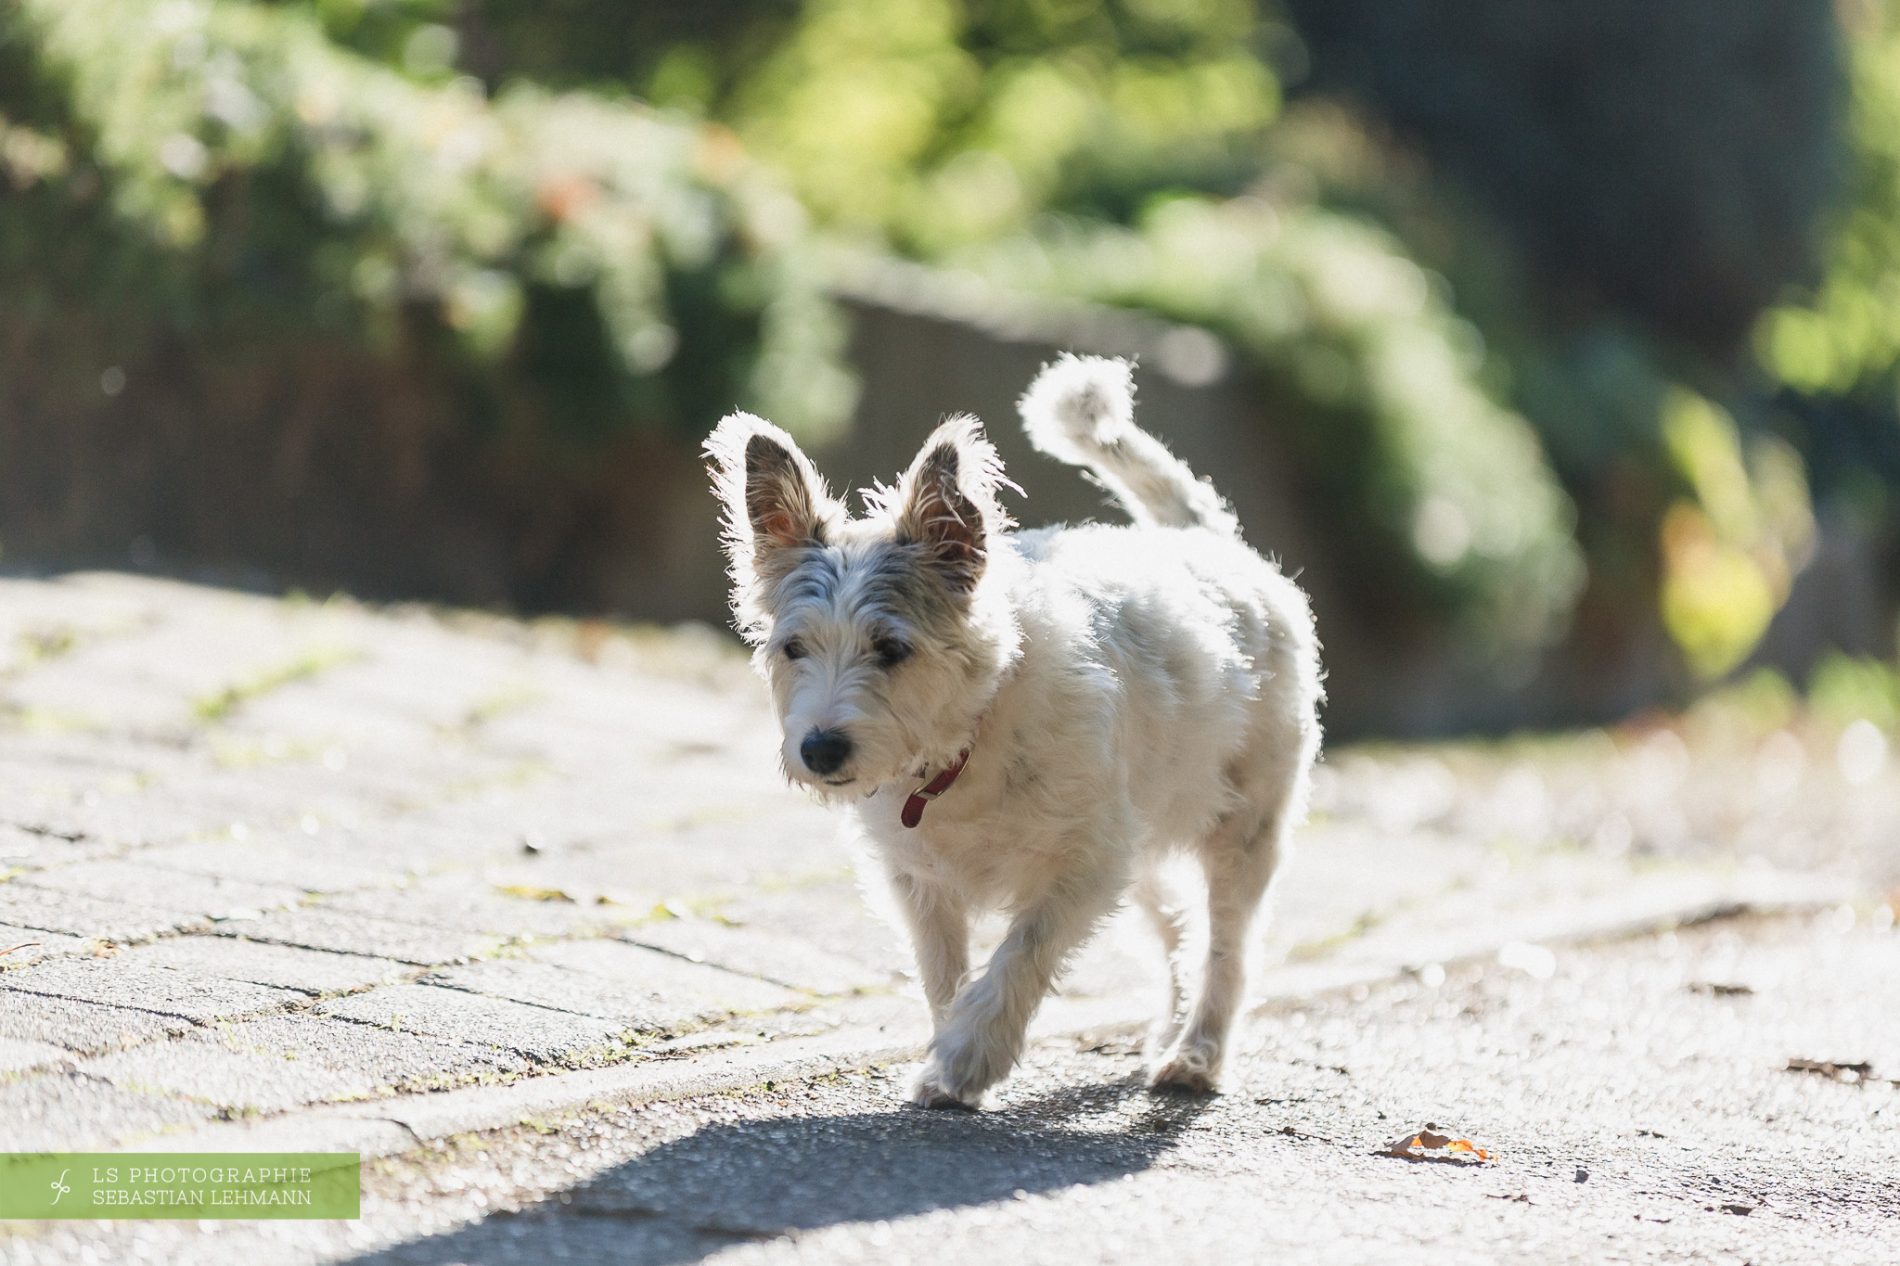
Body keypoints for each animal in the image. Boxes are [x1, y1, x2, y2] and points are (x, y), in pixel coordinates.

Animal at [710, 355, 1322, 1102]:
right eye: (793, 648)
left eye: (891, 648)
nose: (820, 749)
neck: (961, 750)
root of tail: (1204, 538)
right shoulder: (922, 883)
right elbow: (943, 974)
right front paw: (946, 1059)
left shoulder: (1083, 866)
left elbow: (1020, 955)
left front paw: (971, 1053)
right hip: (1145, 833)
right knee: (1178, 925)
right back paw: (1170, 1033)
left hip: (1243, 831)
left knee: (1227, 946)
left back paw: (1197, 1053)